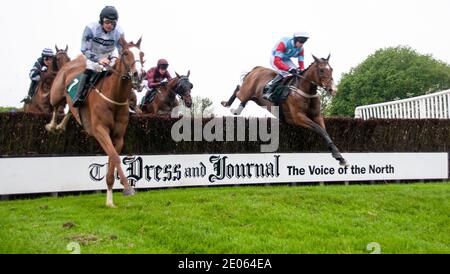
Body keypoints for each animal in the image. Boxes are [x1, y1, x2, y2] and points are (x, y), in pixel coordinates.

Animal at [45, 36, 145, 208]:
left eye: (142, 54)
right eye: (125, 53)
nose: (139, 74)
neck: (114, 96)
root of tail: (71, 62)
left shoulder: (118, 136)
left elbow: (112, 159)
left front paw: (110, 201)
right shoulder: (100, 130)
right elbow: (115, 157)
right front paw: (127, 188)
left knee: (70, 111)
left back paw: (61, 125)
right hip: (56, 93)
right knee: (56, 105)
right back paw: (53, 126)